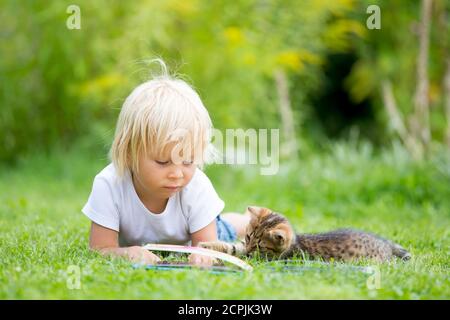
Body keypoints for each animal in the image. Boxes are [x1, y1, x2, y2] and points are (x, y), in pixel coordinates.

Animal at [200, 205, 412, 262]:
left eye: (260, 246)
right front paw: (207, 246)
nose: (251, 249)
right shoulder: (243, 247)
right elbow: (232, 248)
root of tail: (385, 244)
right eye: (248, 237)